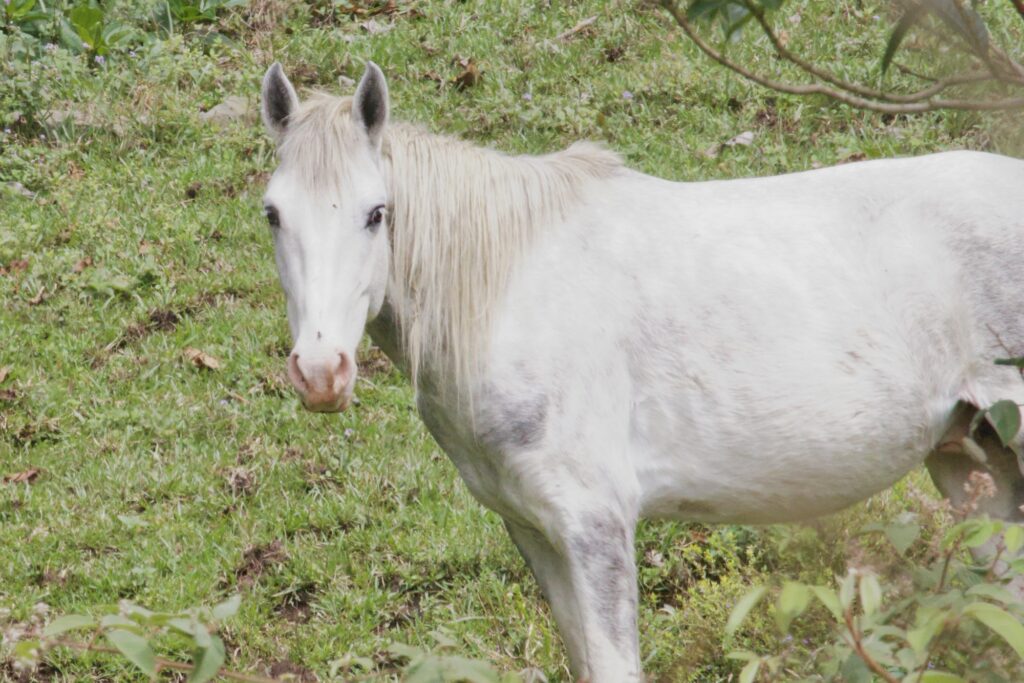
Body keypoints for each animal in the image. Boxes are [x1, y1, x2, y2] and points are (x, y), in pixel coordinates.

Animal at [258, 61, 1024, 681]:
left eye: (375, 213)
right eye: (272, 214)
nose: (321, 372)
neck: (513, 293)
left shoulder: (595, 524)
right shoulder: (535, 531)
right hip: (971, 461)